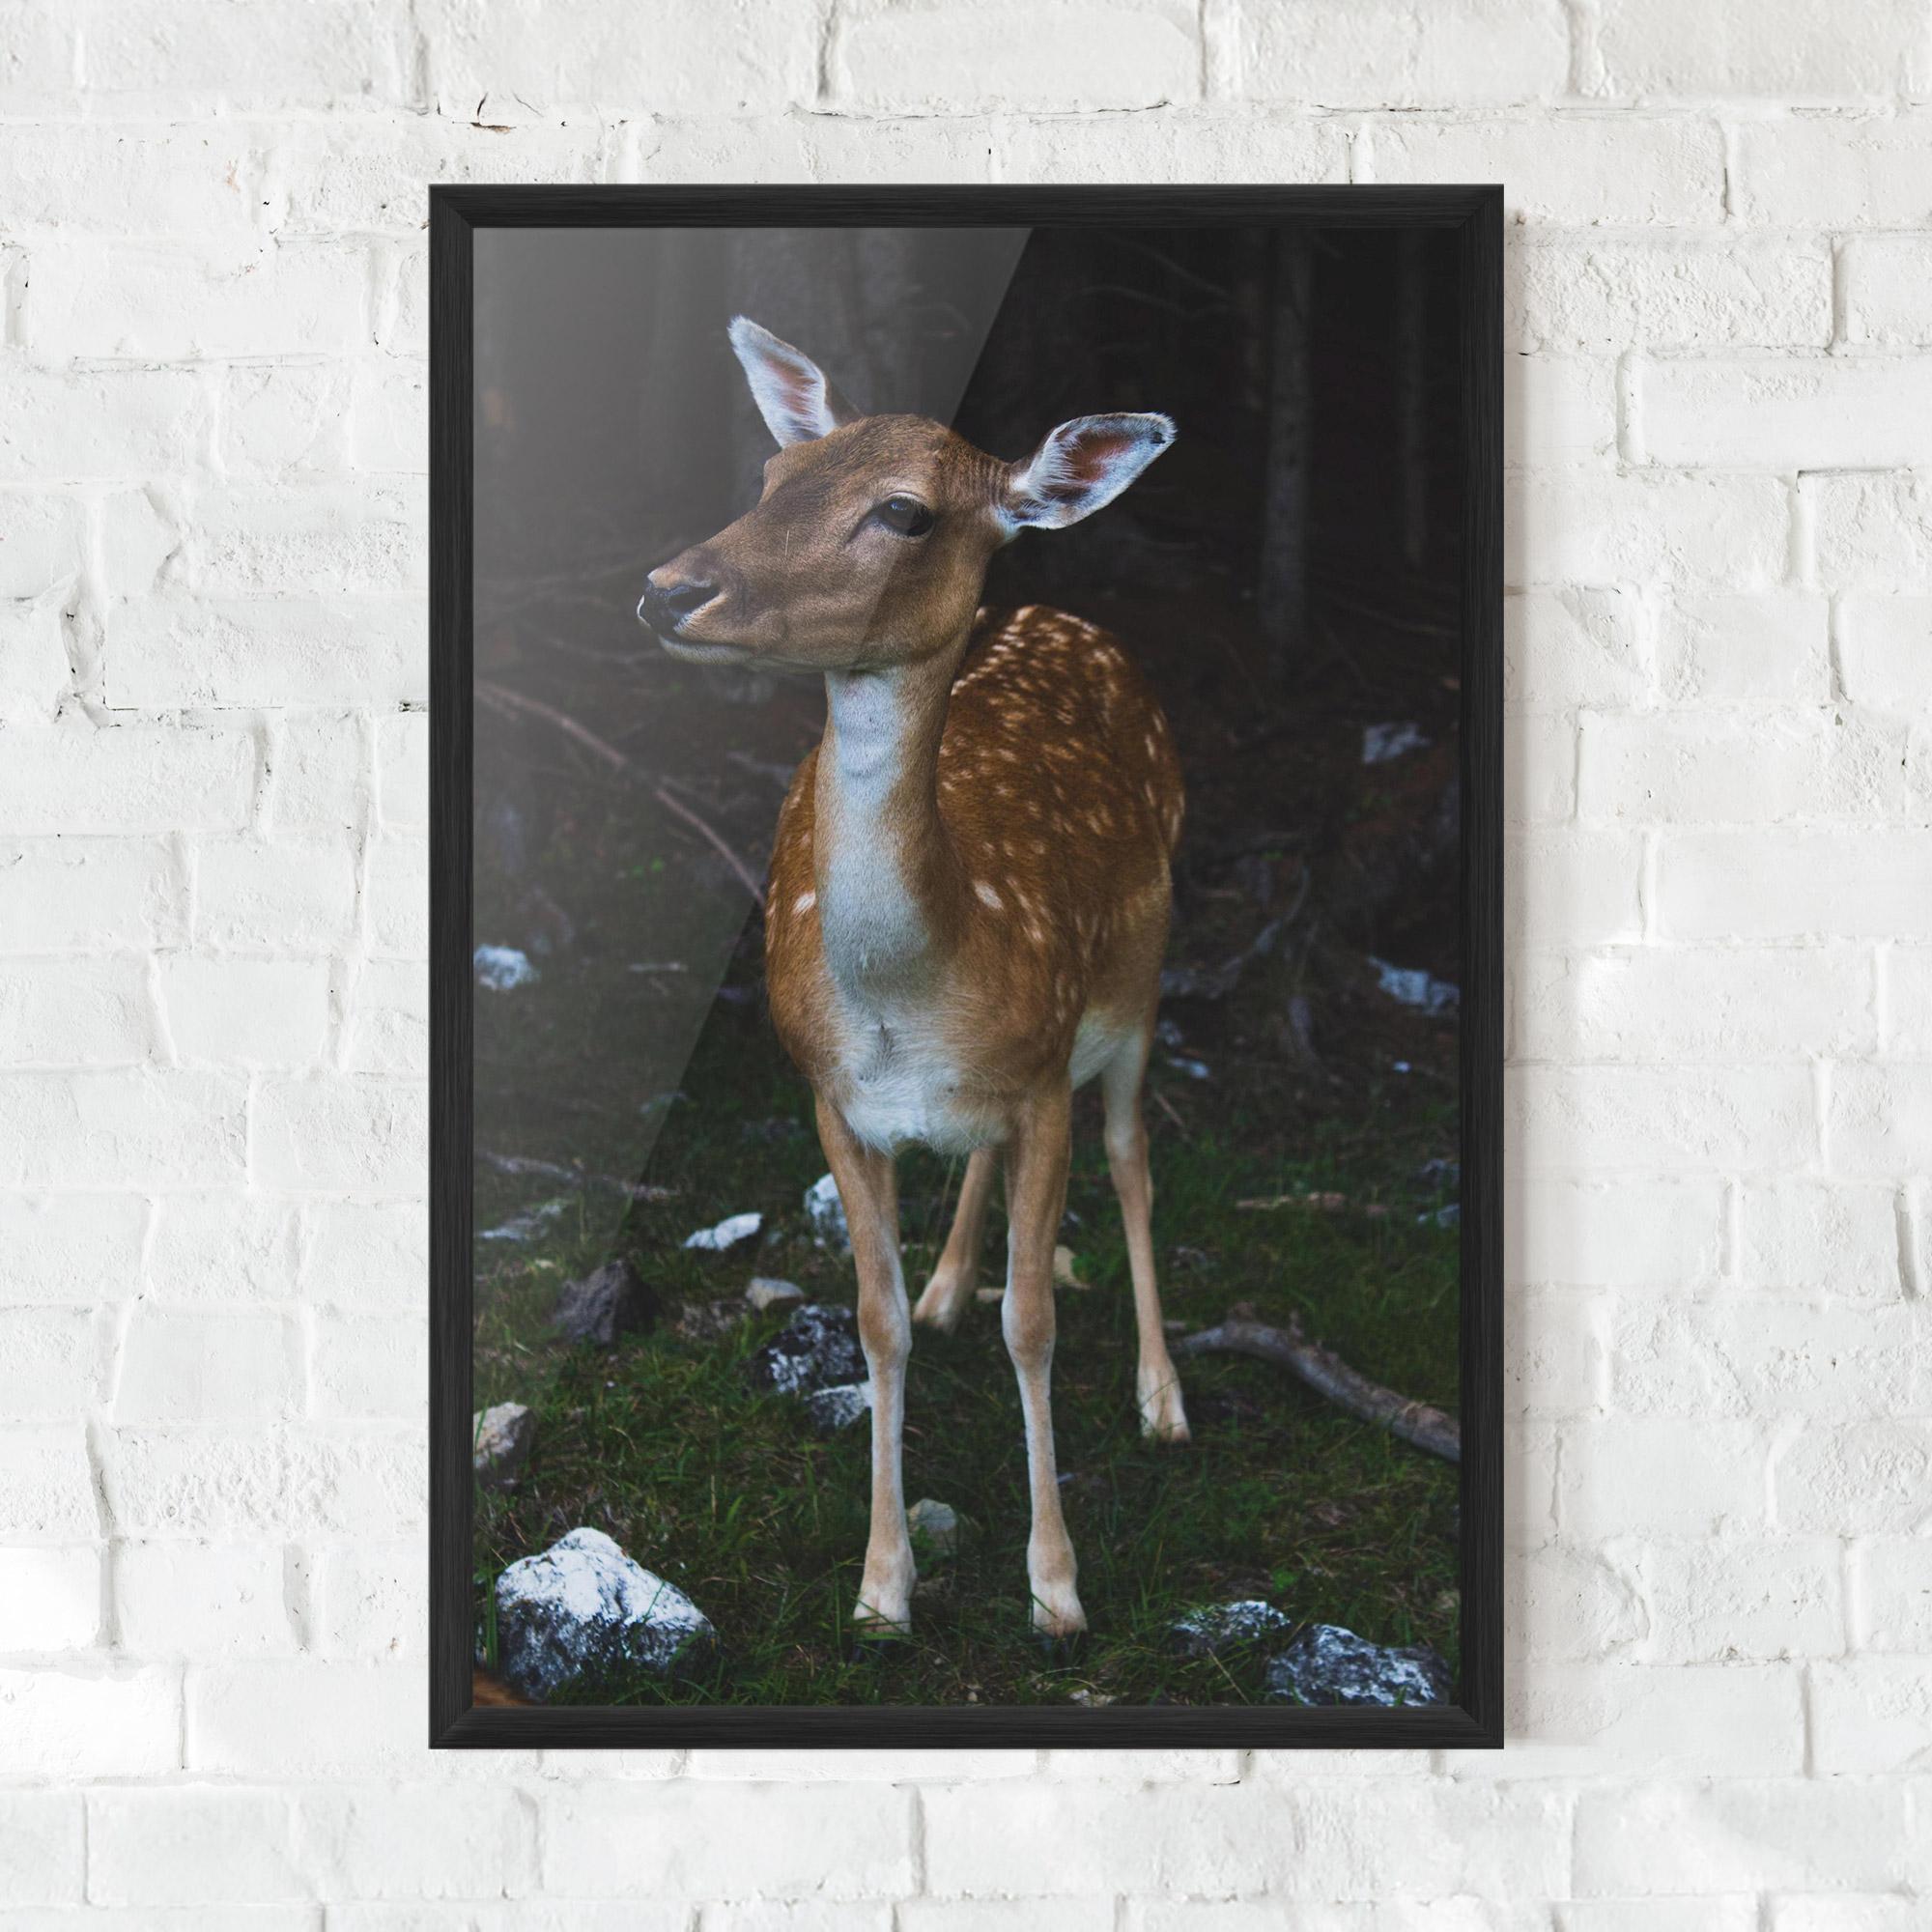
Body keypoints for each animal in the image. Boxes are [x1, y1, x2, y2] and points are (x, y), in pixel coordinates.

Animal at [636, 317, 1190, 1642]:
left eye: (903, 512)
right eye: (775, 475)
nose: (669, 587)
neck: (915, 989)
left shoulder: (1042, 1074)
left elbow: (1033, 1320)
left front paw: (1055, 1586)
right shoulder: (831, 1095)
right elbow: (872, 1320)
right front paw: (882, 1584)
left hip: (1139, 980)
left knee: (1131, 1154)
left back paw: (1163, 1399)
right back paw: (948, 1284)